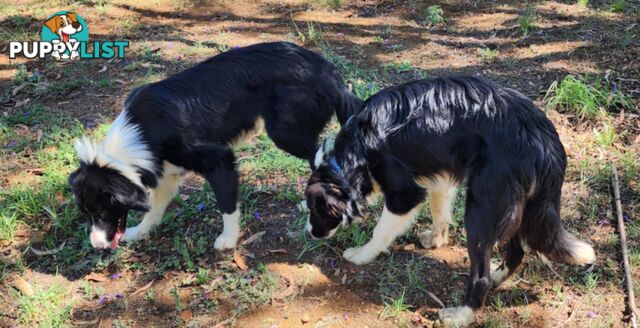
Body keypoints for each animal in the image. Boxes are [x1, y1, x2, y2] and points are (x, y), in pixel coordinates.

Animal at [71, 41, 360, 251]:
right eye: (86, 212)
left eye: (101, 210)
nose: (97, 246)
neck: (141, 131)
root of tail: (329, 73)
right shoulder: (166, 171)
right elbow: (153, 208)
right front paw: (140, 232)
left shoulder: (219, 159)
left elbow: (227, 205)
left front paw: (229, 240)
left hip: (285, 133)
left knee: (321, 157)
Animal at [304, 76, 596, 326]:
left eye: (317, 209)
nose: (310, 233)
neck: (353, 153)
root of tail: (543, 138)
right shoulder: (439, 177)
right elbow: (440, 213)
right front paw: (436, 239)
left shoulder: (403, 194)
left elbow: (380, 232)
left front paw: (362, 255)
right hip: (513, 207)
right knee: (516, 252)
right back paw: (497, 277)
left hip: (482, 208)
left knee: (480, 275)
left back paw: (461, 314)